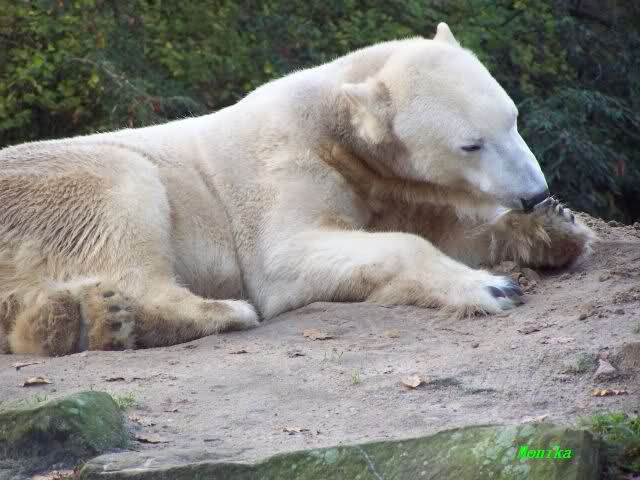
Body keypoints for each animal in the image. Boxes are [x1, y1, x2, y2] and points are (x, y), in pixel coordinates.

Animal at [0, 23, 593, 356]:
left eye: (512, 118)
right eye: (471, 144)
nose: (535, 191)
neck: (333, 123)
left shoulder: (380, 182)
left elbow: (438, 226)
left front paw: (554, 228)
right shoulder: (280, 165)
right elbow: (290, 255)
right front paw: (493, 287)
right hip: (56, 185)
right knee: (125, 196)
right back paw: (193, 313)